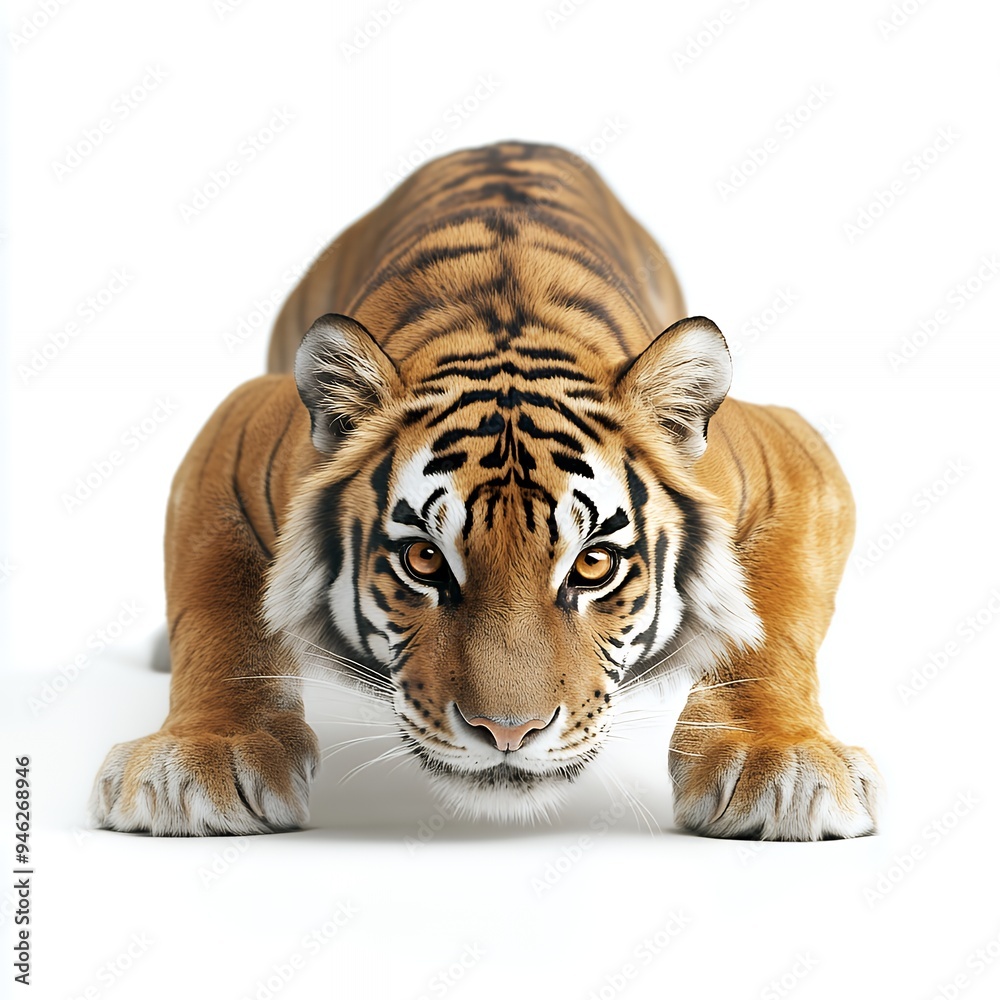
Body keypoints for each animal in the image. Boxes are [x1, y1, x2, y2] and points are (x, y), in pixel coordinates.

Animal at [90, 140, 882, 840]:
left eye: (593, 564)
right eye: (424, 561)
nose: (509, 732)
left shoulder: (791, 456)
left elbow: (774, 616)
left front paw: (780, 763)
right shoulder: (234, 439)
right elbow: (217, 609)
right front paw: (201, 761)